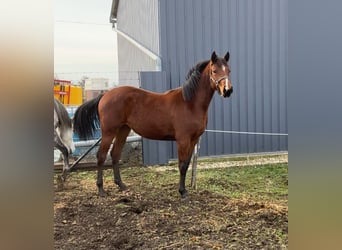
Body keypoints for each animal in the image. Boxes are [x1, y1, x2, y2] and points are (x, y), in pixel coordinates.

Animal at [72, 51, 232, 198]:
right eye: (214, 70)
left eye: (229, 70)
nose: (228, 90)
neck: (190, 103)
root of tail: (105, 95)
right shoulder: (183, 140)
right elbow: (181, 165)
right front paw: (182, 192)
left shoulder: (194, 139)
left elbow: (186, 164)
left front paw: (185, 190)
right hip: (109, 131)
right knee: (101, 156)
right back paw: (101, 190)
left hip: (123, 130)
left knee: (115, 154)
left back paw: (121, 185)